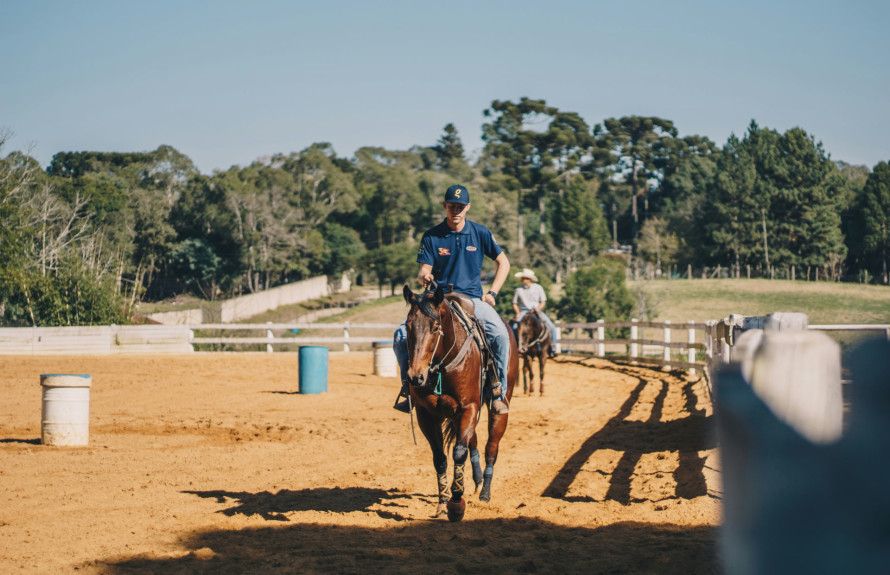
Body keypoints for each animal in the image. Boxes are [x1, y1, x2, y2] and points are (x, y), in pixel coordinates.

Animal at [402, 284, 518, 522]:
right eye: (408, 326)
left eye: (436, 326)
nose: (415, 376)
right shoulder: (427, 415)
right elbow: (440, 457)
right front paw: (443, 501)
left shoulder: (468, 407)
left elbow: (459, 452)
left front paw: (456, 504)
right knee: (472, 442)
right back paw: (477, 480)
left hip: (499, 405)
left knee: (491, 446)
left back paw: (485, 492)